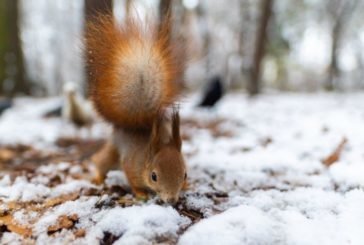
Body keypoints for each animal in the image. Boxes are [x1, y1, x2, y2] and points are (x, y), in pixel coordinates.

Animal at [86, 14, 186, 204]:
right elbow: (133, 181)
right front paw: (141, 194)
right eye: (154, 176)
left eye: (185, 174)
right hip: (113, 150)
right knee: (100, 161)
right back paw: (97, 178)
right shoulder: (131, 166)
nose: (171, 200)